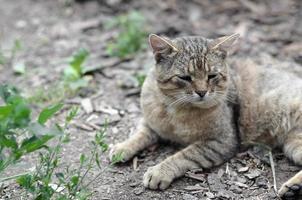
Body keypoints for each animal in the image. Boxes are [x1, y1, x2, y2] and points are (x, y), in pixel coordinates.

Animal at [109, 33, 302, 198]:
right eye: (185, 77)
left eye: (212, 76)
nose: (202, 92)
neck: (177, 109)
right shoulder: (151, 123)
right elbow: (139, 134)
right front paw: (122, 147)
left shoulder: (221, 142)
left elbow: (184, 155)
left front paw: (159, 171)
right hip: (292, 143)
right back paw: (294, 188)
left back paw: (293, 187)